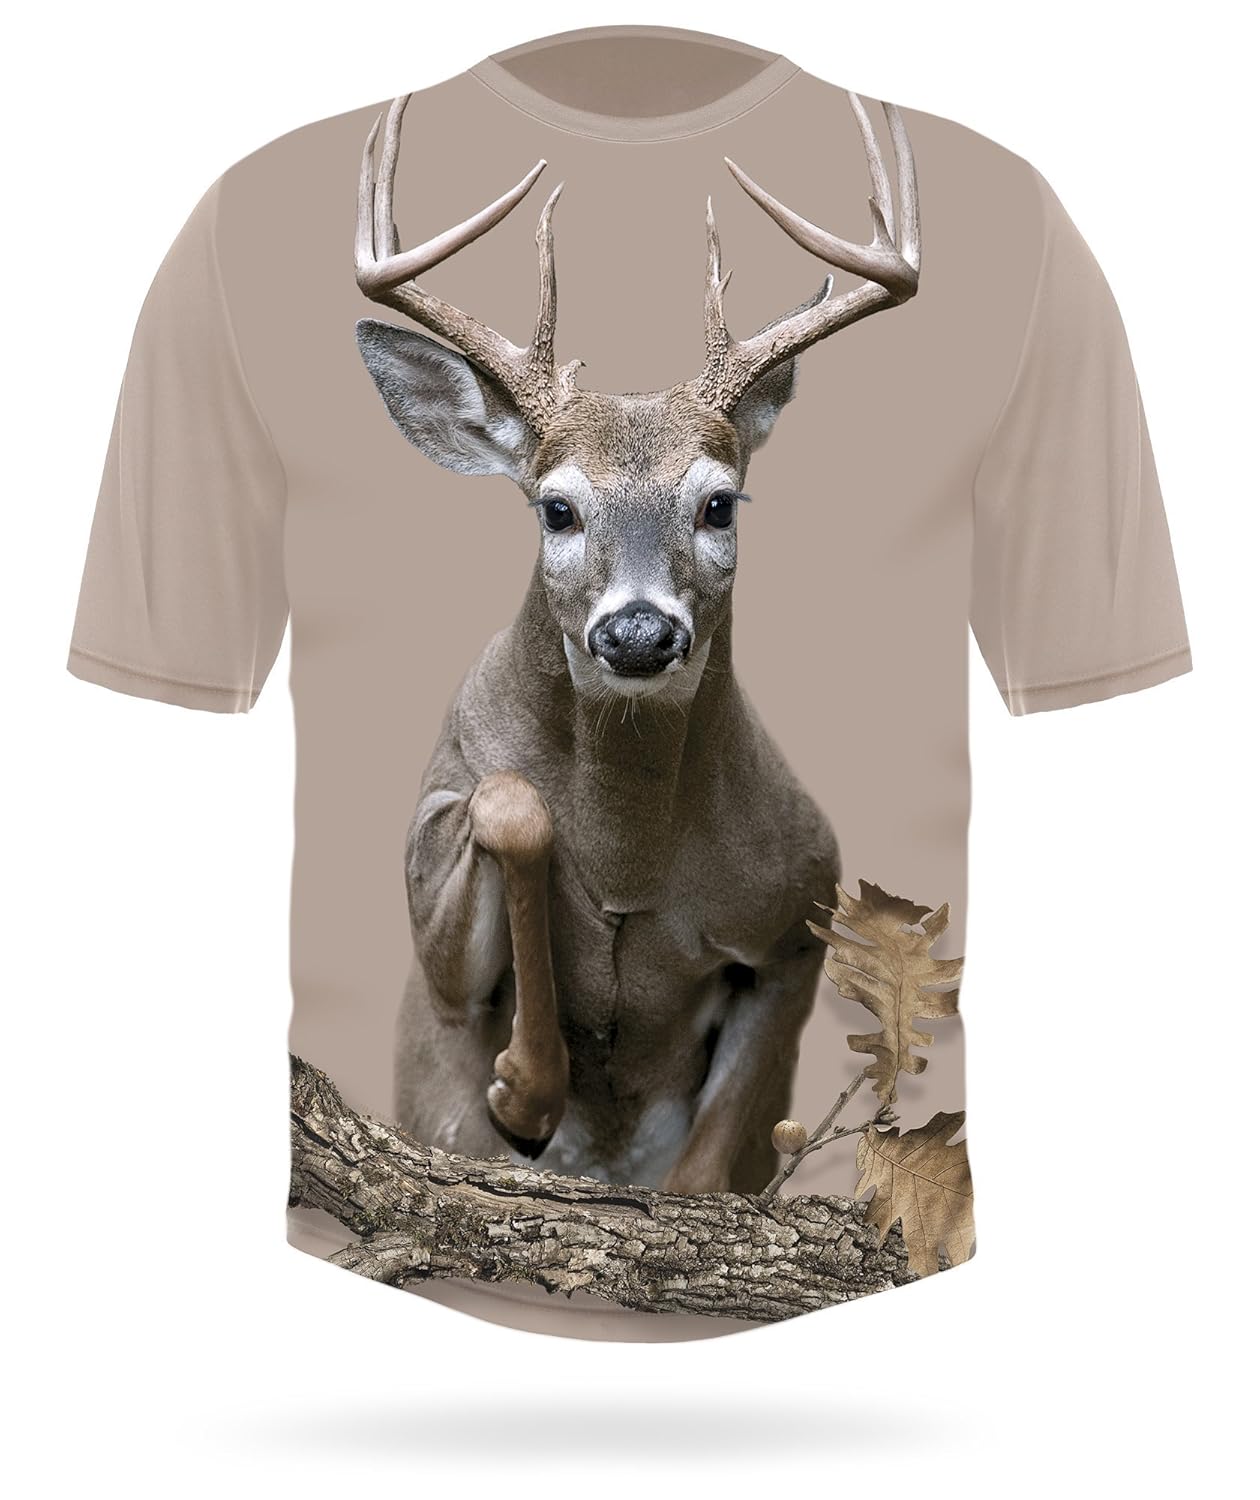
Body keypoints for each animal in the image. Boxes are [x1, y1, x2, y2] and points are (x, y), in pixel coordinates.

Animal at [353, 89, 920, 1194]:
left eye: (720, 502)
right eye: (556, 509)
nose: (640, 632)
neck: (632, 865)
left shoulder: (800, 909)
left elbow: (705, 1166)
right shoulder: (430, 869)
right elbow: (510, 805)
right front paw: (525, 1090)